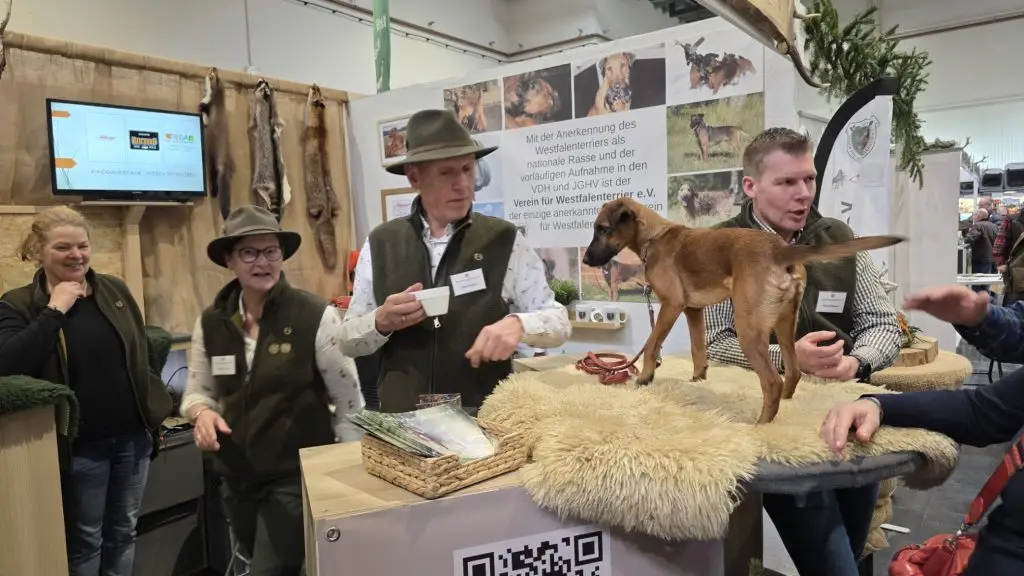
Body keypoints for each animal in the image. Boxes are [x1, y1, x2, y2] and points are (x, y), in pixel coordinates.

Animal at [582, 197, 904, 424]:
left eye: (603, 229)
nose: (585, 260)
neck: (655, 237)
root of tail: (780, 249)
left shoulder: (671, 306)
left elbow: (651, 345)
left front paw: (645, 378)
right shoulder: (693, 310)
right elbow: (698, 348)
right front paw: (698, 379)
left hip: (749, 329)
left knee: (772, 381)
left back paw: (760, 425)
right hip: (785, 325)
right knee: (793, 370)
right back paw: (786, 406)